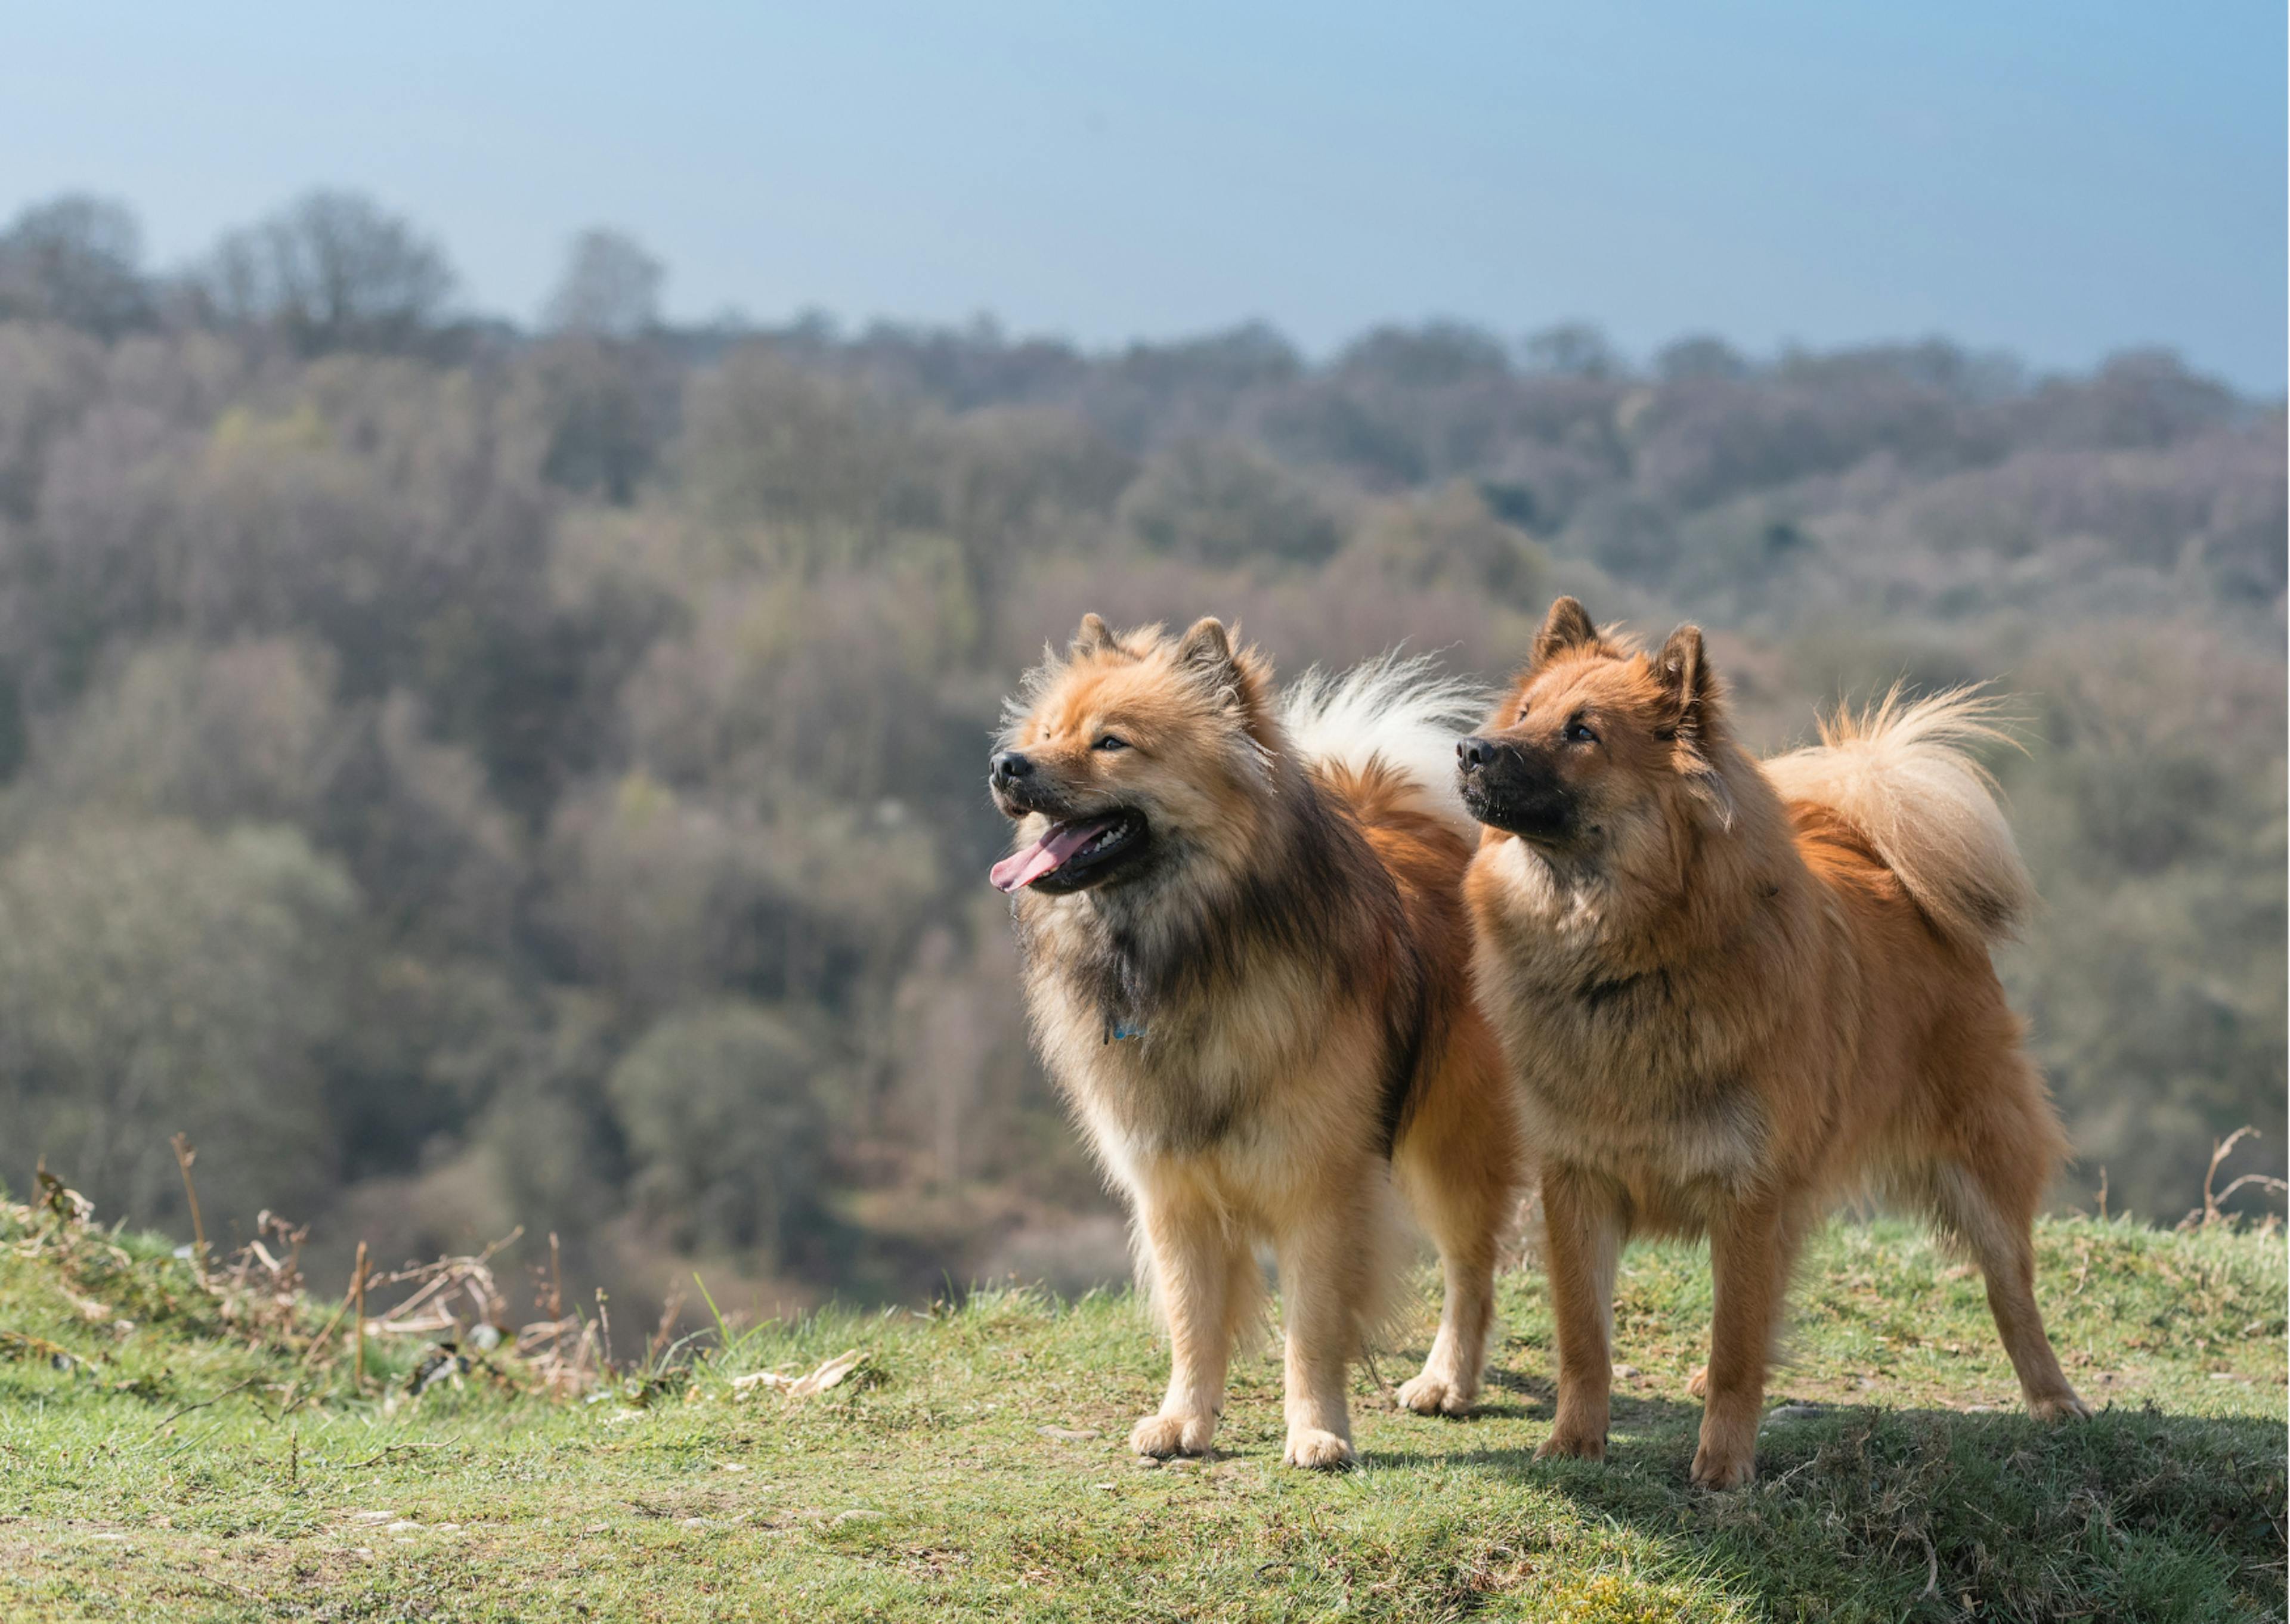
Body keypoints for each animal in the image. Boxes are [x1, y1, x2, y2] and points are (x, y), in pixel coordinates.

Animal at [994, 613, 1530, 1465]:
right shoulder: (1172, 1191)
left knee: (1471, 1268)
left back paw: (1448, 1380)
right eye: (1047, 733)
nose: (1005, 765)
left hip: (1450, 1143)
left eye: (1111, 742)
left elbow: (1312, 1327)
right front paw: (1183, 1420)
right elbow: (1192, 1321)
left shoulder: (1319, 1188)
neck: (1190, 954)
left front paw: (1317, 1430)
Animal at [1465, 595, 2097, 1484]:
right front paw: (1573, 1444)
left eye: (1582, 732)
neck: (1630, 963)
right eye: (1524, 715)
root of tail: (1884, 860)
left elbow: (1736, 1343)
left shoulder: (1748, 1192)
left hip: (1979, 1167)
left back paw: (2054, 1399)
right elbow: (1586, 1339)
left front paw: (1724, 1466)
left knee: (2013, 1291)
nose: (1471, 751)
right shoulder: (1579, 1183)